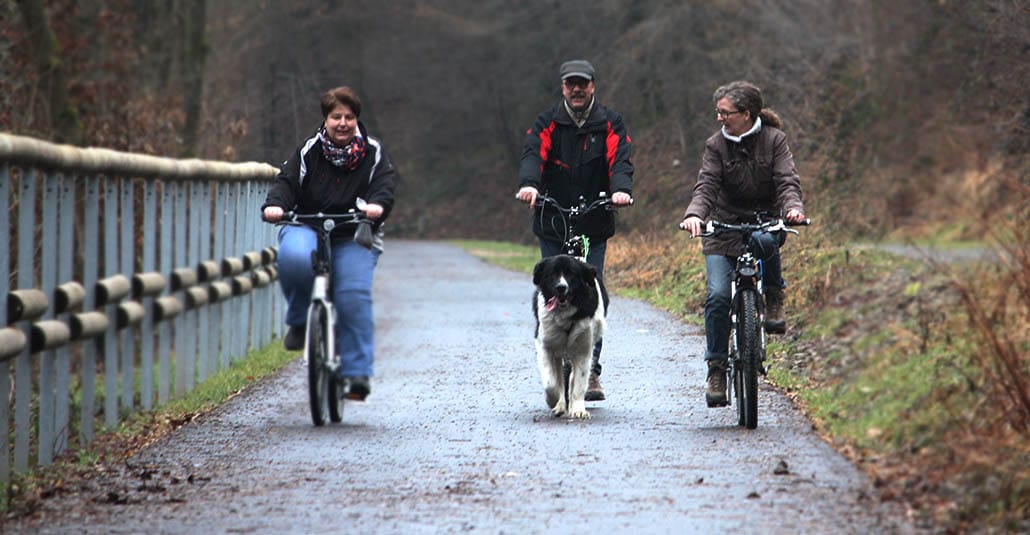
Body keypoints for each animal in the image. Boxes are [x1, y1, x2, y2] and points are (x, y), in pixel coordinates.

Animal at [535, 255, 605, 418]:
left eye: (571, 274)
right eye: (552, 274)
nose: (561, 287)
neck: (565, 315)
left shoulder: (583, 349)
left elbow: (579, 381)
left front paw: (578, 409)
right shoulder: (545, 346)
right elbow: (551, 383)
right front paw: (554, 401)